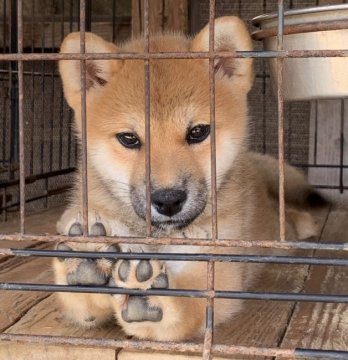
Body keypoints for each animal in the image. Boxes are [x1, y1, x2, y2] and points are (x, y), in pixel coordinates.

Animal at [54, 16, 324, 342]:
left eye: (198, 132)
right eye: (129, 139)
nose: (168, 200)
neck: (159, 239)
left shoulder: (217, 266)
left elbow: (192, 301)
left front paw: (152, 302)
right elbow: (78, 303)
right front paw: (86, 265)